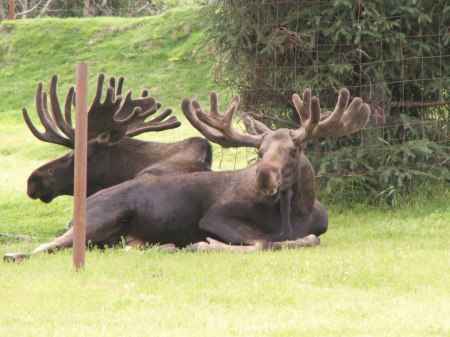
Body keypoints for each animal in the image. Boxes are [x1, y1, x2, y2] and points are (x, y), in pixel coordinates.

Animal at [3, 86, 370, 260]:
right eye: (260, 153)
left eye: (295, 151)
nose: (263, 179)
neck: (296, 212)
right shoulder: (217, 217)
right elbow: (265, 242)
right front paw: (205, 245)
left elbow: (307, 239)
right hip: (101, 217)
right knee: (45, 246)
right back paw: (15, 253)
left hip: (118, 235)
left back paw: (165, 247)